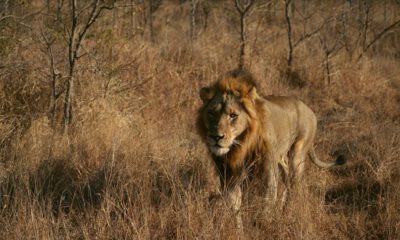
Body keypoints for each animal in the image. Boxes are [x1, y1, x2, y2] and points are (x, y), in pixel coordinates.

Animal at [196, 68, 344, 227]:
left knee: (294, 184)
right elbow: (234, 201)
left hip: (297, 153)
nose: (216, 137)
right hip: (280, 158)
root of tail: (308, 108)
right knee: (287, 179)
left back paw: (287, 212)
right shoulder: (228, 173)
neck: (241, 146)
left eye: (233, 115)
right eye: (211, 113)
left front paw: (262, 224)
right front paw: (238, 227)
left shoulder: (268, 169)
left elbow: (267, 199)